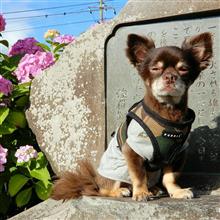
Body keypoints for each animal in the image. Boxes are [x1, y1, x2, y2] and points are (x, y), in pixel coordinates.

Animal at [50, 31, 212, 202]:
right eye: (155, 68)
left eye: (183, 69)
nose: (170, 77)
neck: (167, 112)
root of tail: (94, 181)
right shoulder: (133, 150)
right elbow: (139, 176)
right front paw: (140, 193)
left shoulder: (178, 154)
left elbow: (170, 177)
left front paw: (176, 192)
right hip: (115, 171)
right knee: (103, 190)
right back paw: (121, 191)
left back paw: (153, 189)